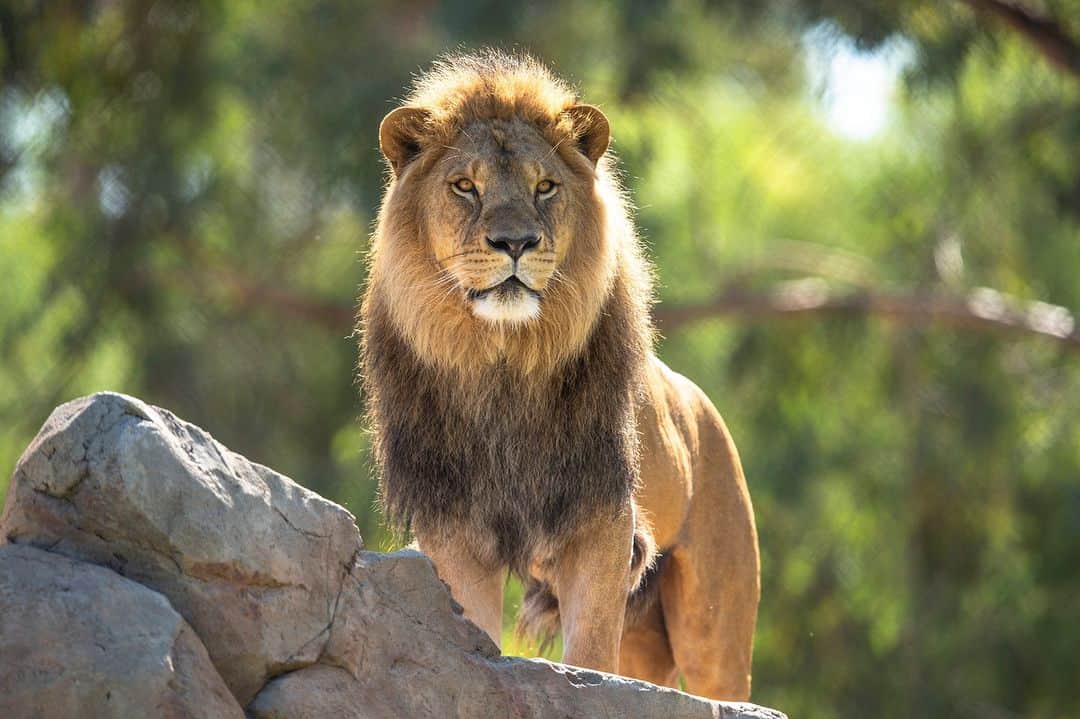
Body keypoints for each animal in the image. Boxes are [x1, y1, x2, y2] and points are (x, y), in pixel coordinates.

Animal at [359, 50, 760, 700]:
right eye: (464, 186)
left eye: (544, 186)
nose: (516, 242)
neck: (502, 364)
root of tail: (703, 405)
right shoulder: (456, 528)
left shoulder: (600, 517)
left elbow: (592, 651)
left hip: (714, 617)